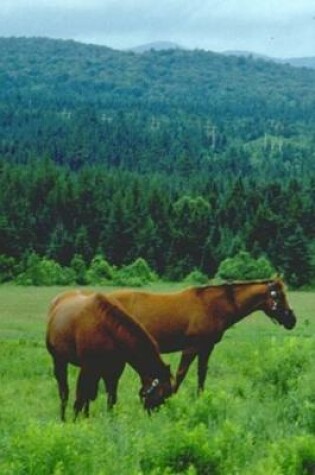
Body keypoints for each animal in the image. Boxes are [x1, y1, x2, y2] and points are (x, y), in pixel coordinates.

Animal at [46, 290, 174, 420]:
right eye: (163, 393)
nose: (155, 415)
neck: (108, 329)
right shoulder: (87, 368)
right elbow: (80, 397)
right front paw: (75, 420)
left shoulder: (113, 371)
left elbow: (110, 398)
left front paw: (109, 419)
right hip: (59, 361)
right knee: (64, 392)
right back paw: (63, 418)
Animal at [110, 278, 296, 392]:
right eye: (279, 296)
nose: (292, 320)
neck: (211, 306)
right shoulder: (191, 348)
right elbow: (181, 374)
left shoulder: (206, 348)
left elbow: (201, 374)